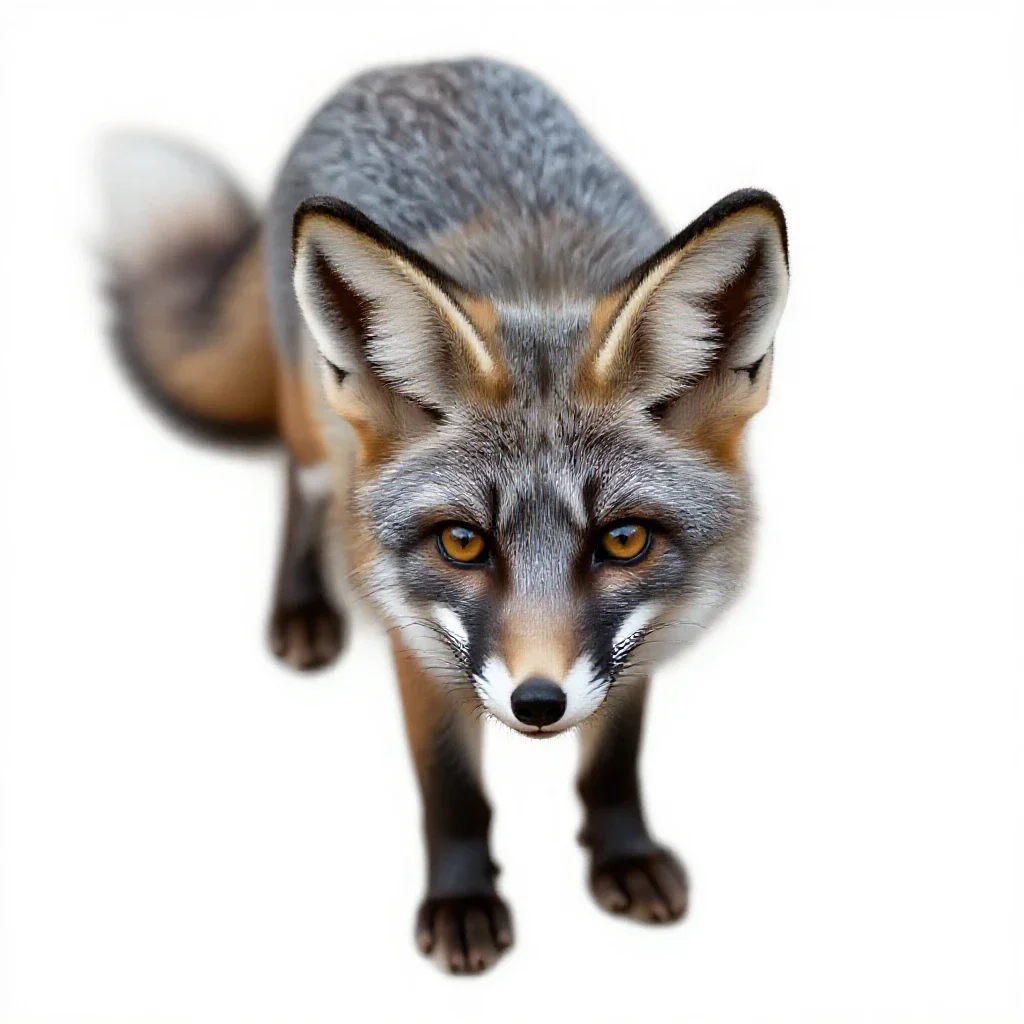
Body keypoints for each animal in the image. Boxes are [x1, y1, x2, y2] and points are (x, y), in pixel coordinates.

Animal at [99, 57, 788, 974]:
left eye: (624, 540)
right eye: (463, 542)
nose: (539, 703)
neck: (537, 291)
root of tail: (415, 66)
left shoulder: (642, 640)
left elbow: (612, 765)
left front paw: (622, 854)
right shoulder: (418, 640)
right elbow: (452, 791)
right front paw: (463, 901)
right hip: (314, 426)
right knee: (300, 485)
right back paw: (301, 609)